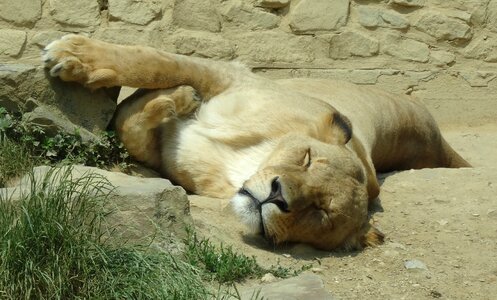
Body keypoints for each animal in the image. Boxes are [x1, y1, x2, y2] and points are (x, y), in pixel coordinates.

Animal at [41, 34, 468, 251]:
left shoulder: (163, 157)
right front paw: (74, 53)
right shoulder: (228, 74)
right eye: (308, 159)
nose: (278, 196)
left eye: (320, 213)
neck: (238, 161)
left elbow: (131, 126)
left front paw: (178, 99)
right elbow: (156, 62)